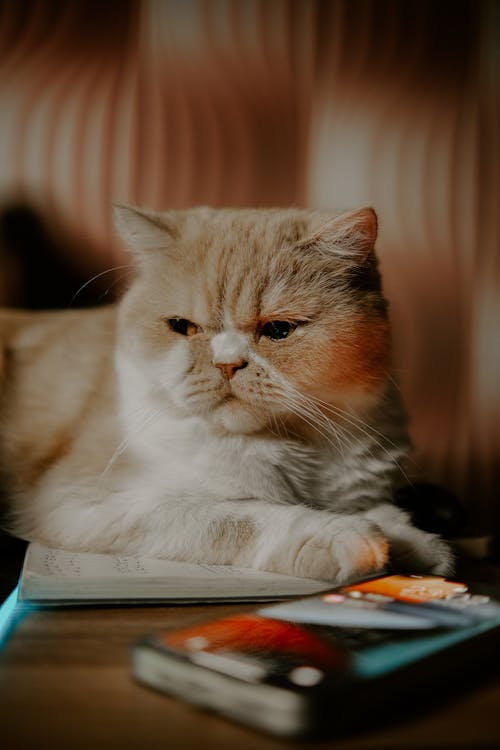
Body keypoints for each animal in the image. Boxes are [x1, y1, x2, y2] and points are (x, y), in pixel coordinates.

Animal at [0, 207, 454, 588]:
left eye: (278, 330)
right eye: (183, 327)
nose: (227, 363)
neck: (294, 448)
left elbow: (383, 514)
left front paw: (415, 543)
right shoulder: (94, 503)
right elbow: (240, 515)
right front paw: (349, 540)